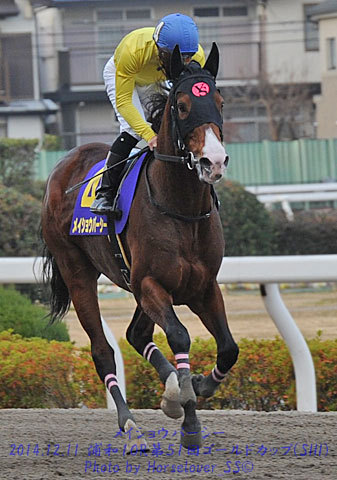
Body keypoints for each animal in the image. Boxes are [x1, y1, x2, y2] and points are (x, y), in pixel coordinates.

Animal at [40, 43, 238, 452]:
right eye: (182, 106)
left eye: (220, 101)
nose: (213, 161)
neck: (181, 209)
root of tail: (61, 166)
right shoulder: (151, 284)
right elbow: (179, 335)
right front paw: (189, 417)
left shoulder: (203, 286)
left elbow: (228, 347)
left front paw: (196, 386)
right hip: (78, 271)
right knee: (103, 351)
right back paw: (131, 427)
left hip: (133, 283)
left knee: (136, 335)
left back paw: (168, 394)